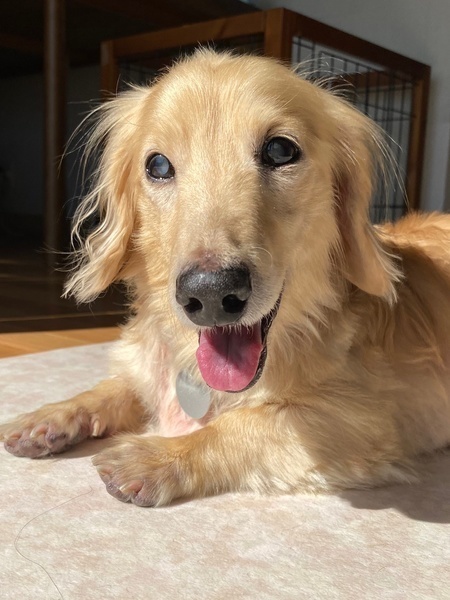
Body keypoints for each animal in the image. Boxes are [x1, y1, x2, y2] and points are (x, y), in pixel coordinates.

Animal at [1, 50, 450, 507]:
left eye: (280, 150)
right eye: (157, 164)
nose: (210, 294)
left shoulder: (362, 421)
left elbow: (249, 423)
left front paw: (160, 455)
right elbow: (118, 385)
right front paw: (52, 415)